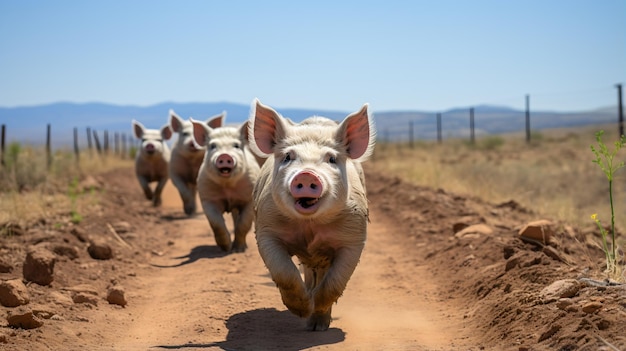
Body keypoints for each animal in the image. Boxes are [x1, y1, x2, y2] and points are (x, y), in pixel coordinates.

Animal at [189, 117, 260, 253]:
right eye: (212, 146)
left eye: (236, 145)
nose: (224, 155)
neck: (227, 186)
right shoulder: (207, 198)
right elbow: (216, 223)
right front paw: (226, 249)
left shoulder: (249, 199)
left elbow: (243, 224)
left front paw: (238, 250)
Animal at [247, 97, 376, 332]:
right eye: (288, 156)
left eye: (332, 159)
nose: (307, 174)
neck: (310, 226)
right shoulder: (266, 229)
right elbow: (284, 273)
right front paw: (302, 310)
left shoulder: (354, 236)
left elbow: (336, 281)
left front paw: (317, 313)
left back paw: (317, 325)